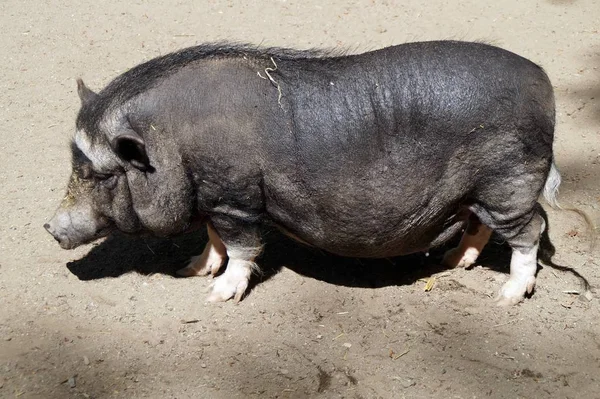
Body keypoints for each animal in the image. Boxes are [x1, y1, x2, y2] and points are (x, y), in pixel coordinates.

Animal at [44, 40, 560, 306]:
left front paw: (216, 296)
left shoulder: (236, 200)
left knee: (531, 230)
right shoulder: (212, 198)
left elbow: (241, 247)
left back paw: (507, 296)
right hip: (476, 193)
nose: (49, 227)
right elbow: (212, 239)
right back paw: (454, 261)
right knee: (480, 226)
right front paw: (190, 269)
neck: (169, 145)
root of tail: (545, 83)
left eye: (102, 175)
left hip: (508, 184)